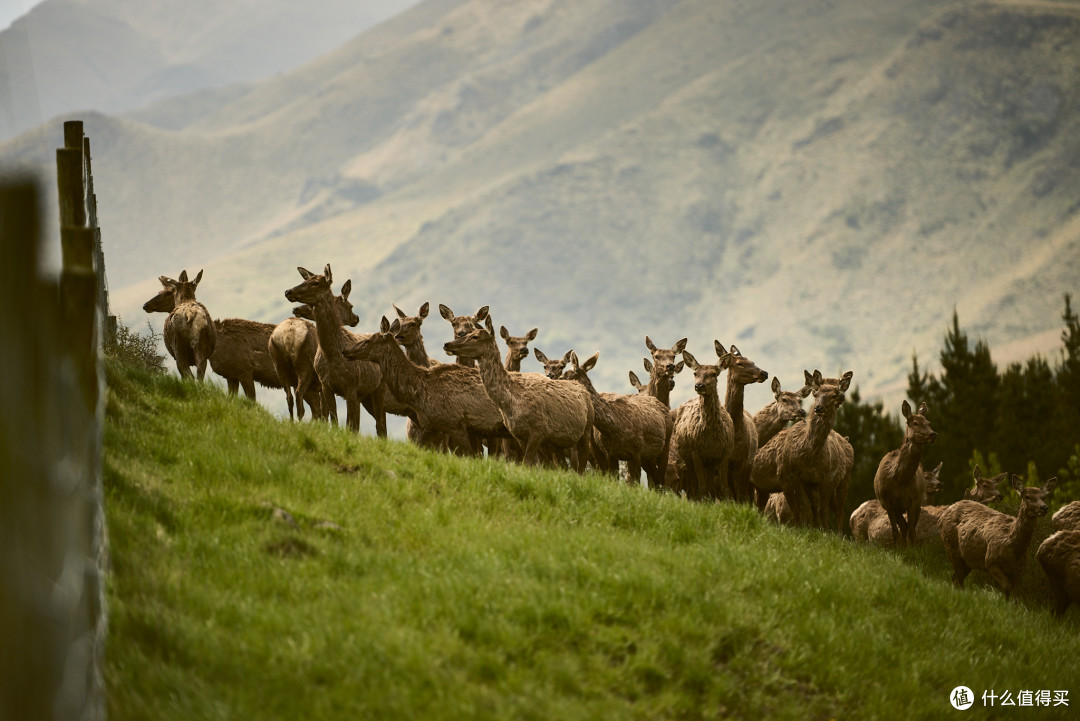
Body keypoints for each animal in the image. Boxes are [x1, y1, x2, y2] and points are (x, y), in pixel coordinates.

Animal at [283, 265, 387, 437]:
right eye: (305, 280)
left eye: (316, 283)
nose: (288, 291)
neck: (332, 353)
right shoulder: (326, 386)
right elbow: (335, 422)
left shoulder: (351, 387)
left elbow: (351, 427)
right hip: (365, 396)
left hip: (379, 389)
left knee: (381, 425)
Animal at [443, 315, 593, 471]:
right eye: (469, 333)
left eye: (475, 336)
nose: (447, 344)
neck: (512, 404)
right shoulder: (519, 435)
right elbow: (531, 465)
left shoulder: (539, 430)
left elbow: (527, 463)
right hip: (558, 442)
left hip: (587, 428)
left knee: (581, 463)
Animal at [565, 351, 672, 488]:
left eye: (567, 375)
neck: (615, 427)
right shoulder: (611, 453)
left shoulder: (636, 451)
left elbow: (634, 482)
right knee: (656, 478)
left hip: (665, 444)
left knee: (661, 479)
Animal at [873, 400, 938, 547]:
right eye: (915, 423)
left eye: (929, 422)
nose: (933, 434)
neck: (899, 481)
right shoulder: (888, 502)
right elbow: (896, 531)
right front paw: (900, 549)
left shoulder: (913, 501)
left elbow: (912, 531)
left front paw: (912, 550)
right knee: (903, 527)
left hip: (919, 501)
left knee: (910, 527)